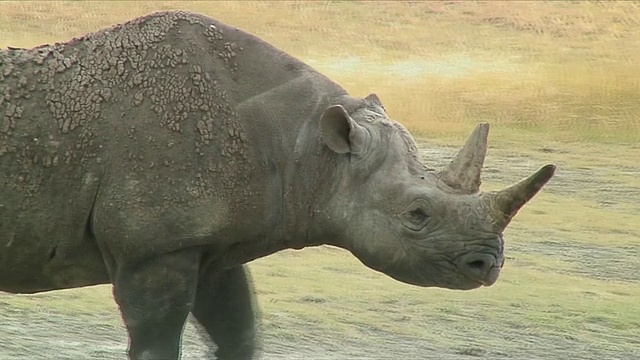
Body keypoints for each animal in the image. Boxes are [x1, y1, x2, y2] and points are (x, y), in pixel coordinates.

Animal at [0, 9, 556, 360]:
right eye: (418, 215)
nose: (488, 265)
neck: (309, 145)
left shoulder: (213, 241)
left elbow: (239, 333)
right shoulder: (155, 248)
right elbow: (158, 342)